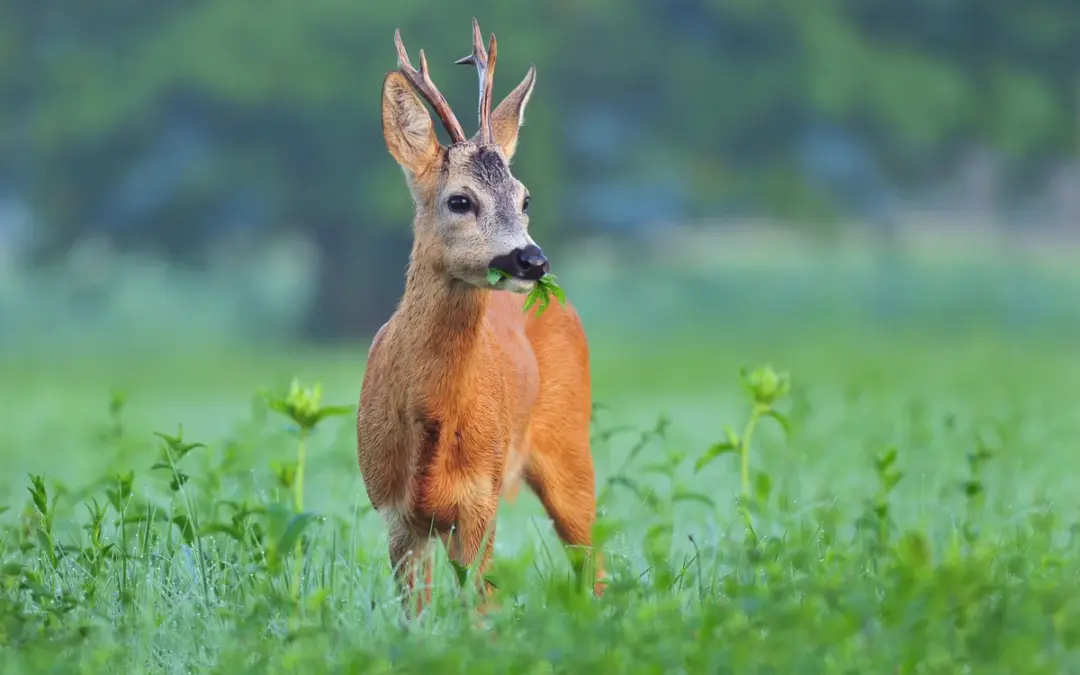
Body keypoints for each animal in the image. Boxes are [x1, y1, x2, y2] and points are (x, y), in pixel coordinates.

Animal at [356, 18, 605, 615]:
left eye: (525, 197)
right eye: (460, 200)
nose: (533, 260)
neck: (431, 423)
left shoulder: (481, 502)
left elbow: (482, 612)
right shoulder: (395, 515)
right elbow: (414, 618)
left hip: (570, 445)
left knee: (596, 561)